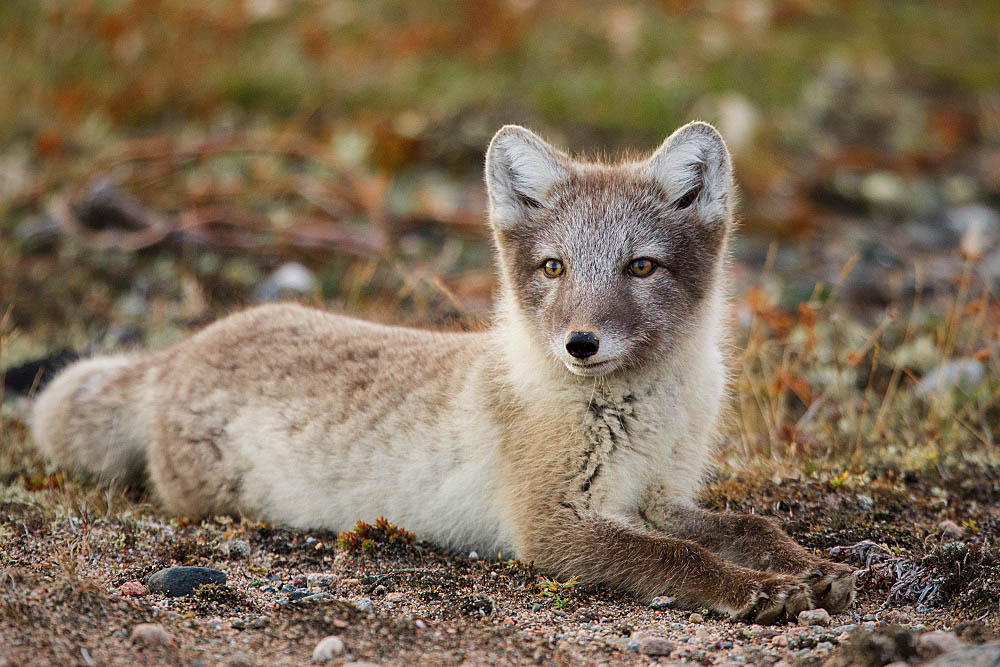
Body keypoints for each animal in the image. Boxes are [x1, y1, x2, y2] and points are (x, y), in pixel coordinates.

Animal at [35, 122, 856, 624]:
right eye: (553, 267)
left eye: (642, 266)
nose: (580, 344)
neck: (647, 408)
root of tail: (179, 352)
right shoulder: (553, 522)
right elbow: (674, 555)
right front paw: (756, 589)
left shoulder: (660, 493)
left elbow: (745, 524)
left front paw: (808, 566)